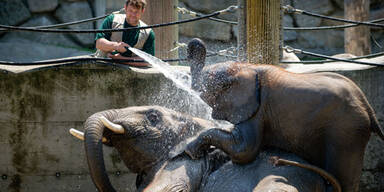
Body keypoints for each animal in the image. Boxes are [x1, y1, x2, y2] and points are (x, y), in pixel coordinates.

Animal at [185, 38, 384, 192]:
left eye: (208, 86)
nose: (195, 44)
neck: (248, 67)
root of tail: (367, 106)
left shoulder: (256, 109)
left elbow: (245, 150)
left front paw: (190, 150)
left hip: (346, 131)